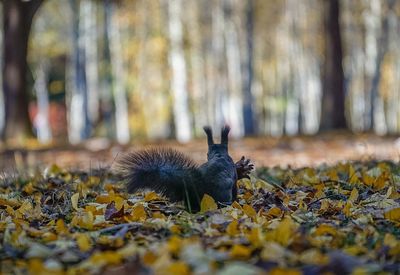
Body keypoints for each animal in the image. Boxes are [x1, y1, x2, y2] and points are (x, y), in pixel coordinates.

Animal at [115, 125, 253, 213]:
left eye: (207, 154)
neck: (219, 155)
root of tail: (198, 187)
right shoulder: (233, 178)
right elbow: (235, 188)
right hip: (223, 193)